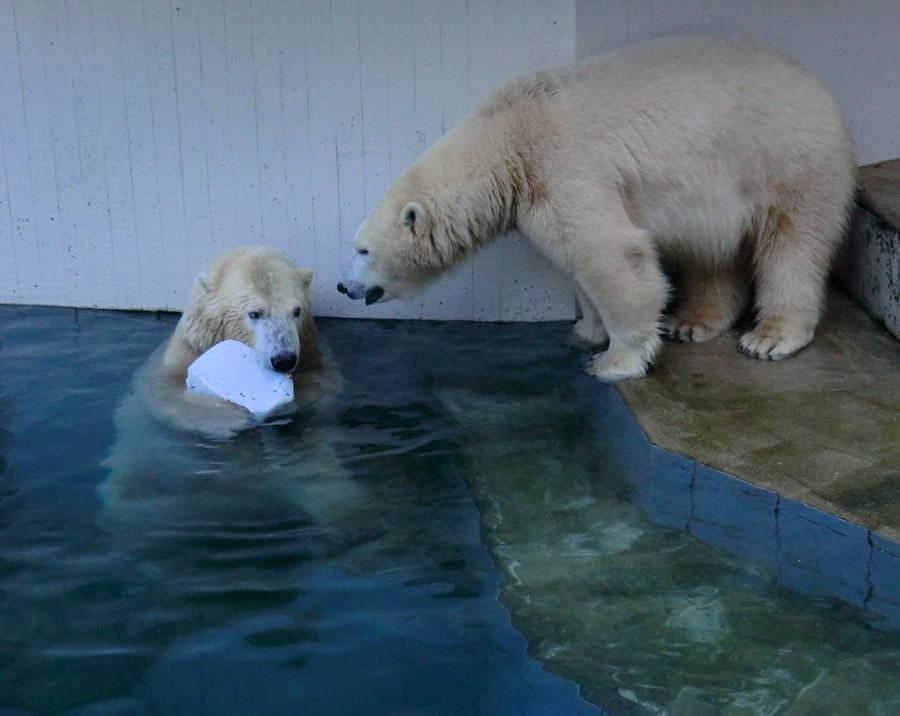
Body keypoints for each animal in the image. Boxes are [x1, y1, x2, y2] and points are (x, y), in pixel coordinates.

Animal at [334, 35, 856, 380]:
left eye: (362, 250)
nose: (342, 286)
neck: (509, 138)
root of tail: (818, 87)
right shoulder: (536, 189)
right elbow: (572, 260)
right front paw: (586, 330)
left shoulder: (565, 166)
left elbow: (609, 254)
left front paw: (613, 361)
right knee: (714, 252)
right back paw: (694, 322)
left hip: (786, 159)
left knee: (794, 244)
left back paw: (771, 335)